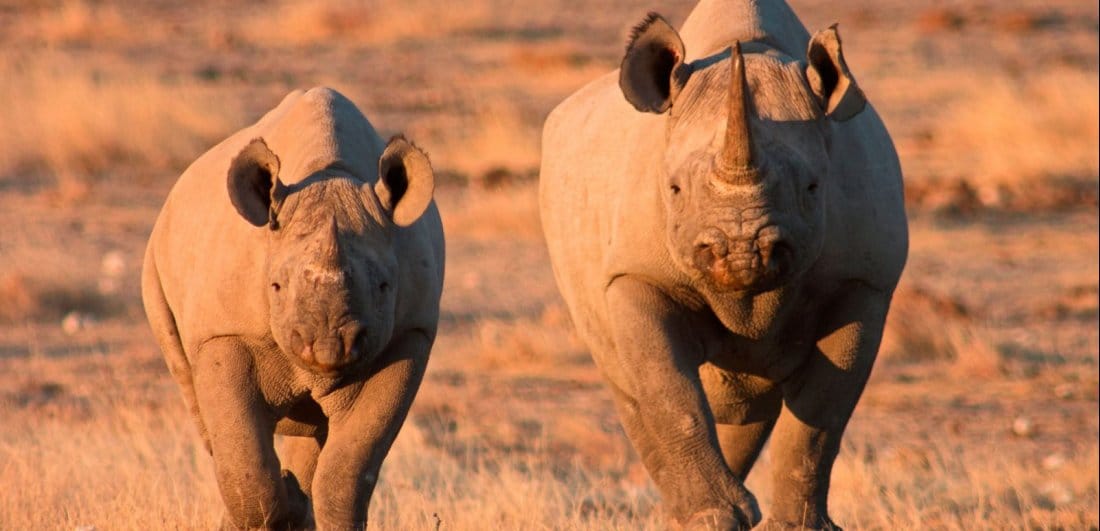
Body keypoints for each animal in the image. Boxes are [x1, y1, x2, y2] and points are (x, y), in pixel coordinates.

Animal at [141, 85, 442, 529]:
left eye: (385, 287)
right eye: (276, 287)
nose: (329, 345)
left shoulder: (408, 336)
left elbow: (348, 471)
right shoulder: (225, 332)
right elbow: (246, 464)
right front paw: (276, 508)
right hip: (155, 266)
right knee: (202, 409)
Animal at [536, 2, 906, 529]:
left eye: (813, 188)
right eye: (673, 189)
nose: (741, 251)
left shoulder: (863, 282)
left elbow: (822, 415)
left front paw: (794, 526)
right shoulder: (635, 274)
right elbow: (669, 392)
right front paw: (713, 517)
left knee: (748, 402)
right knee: (629, 386)